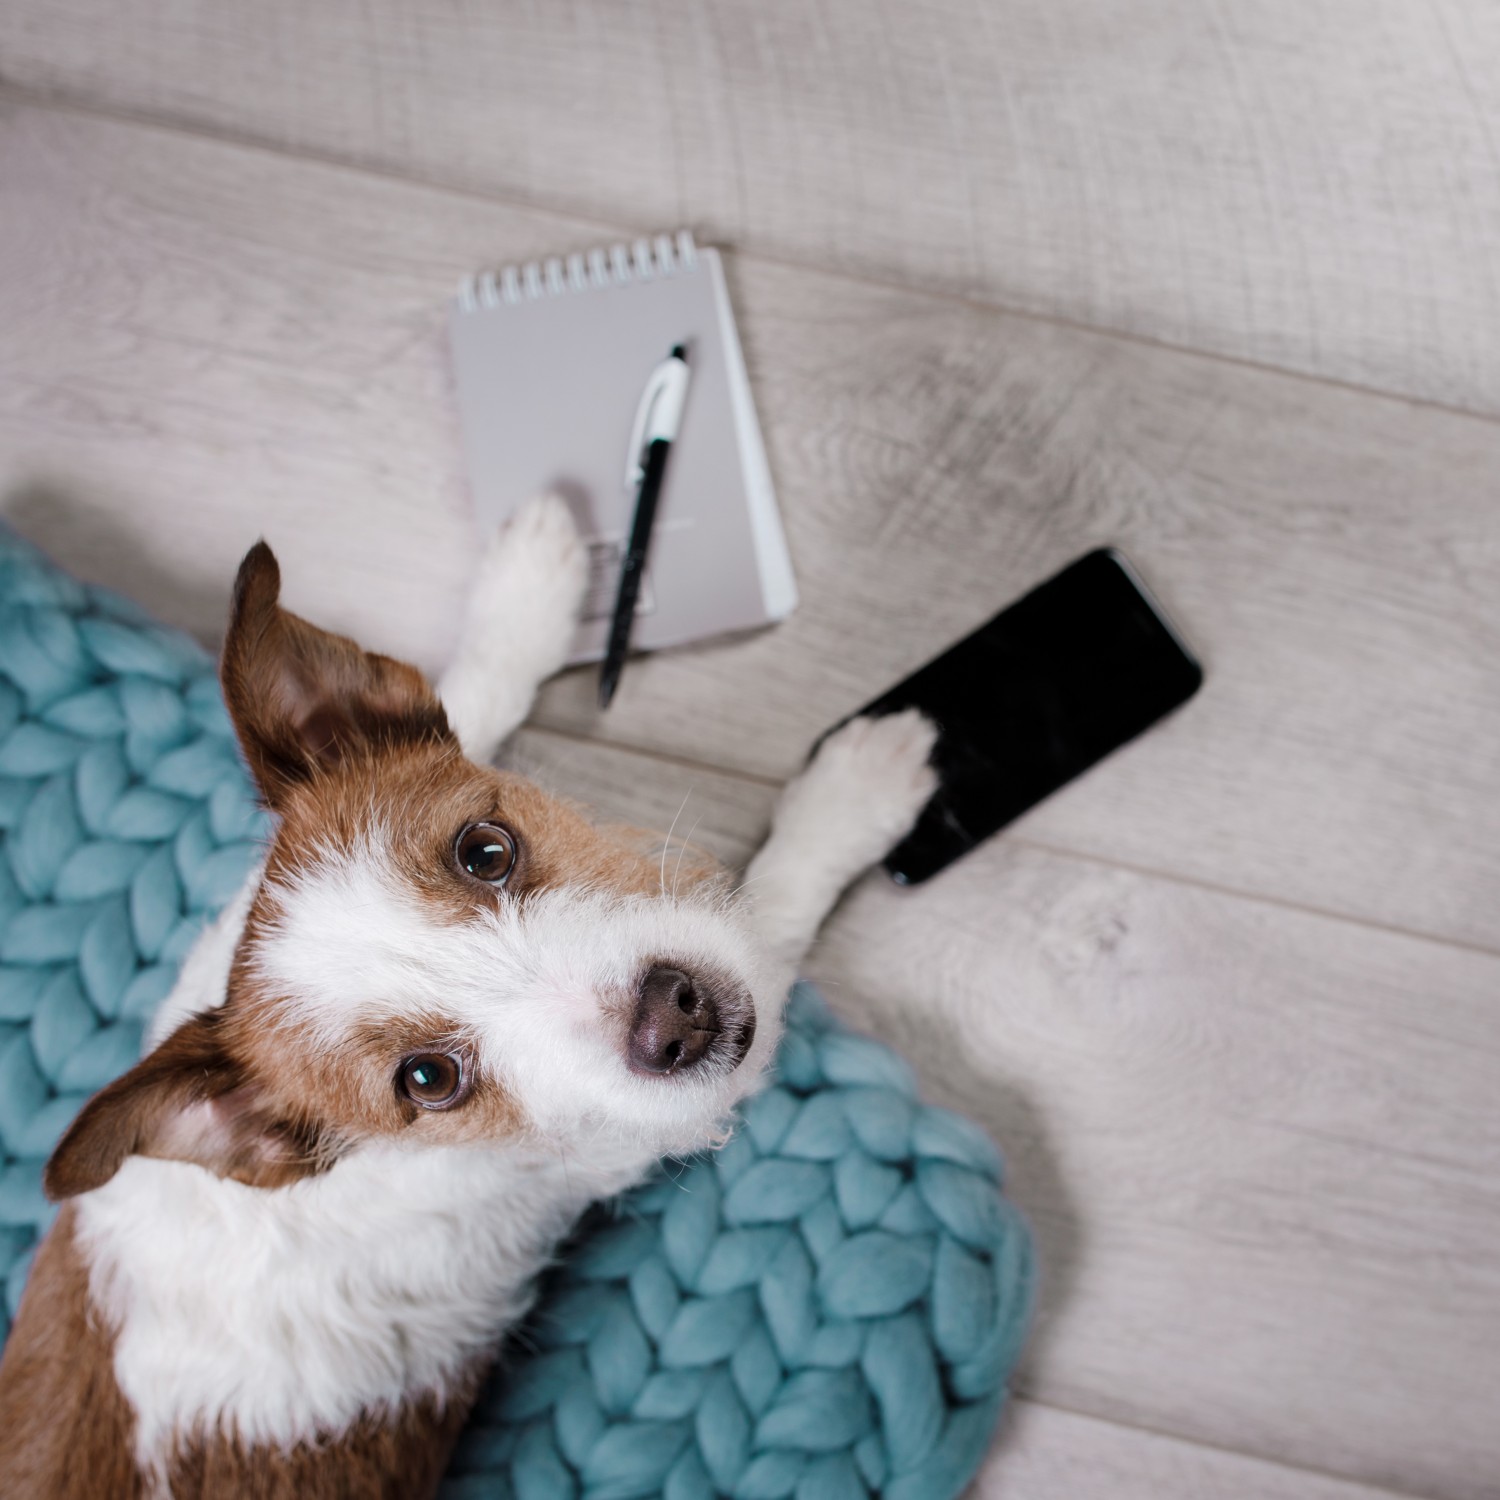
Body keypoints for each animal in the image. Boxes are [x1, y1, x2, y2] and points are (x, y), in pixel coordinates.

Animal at [0, 498, 936, 1494]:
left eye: (486, 850)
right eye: (428, 1081)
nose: (674, 1022)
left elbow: (472, 696)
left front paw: (526, 592)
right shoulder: (635, 1132)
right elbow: (775, 912)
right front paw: (856, 794)